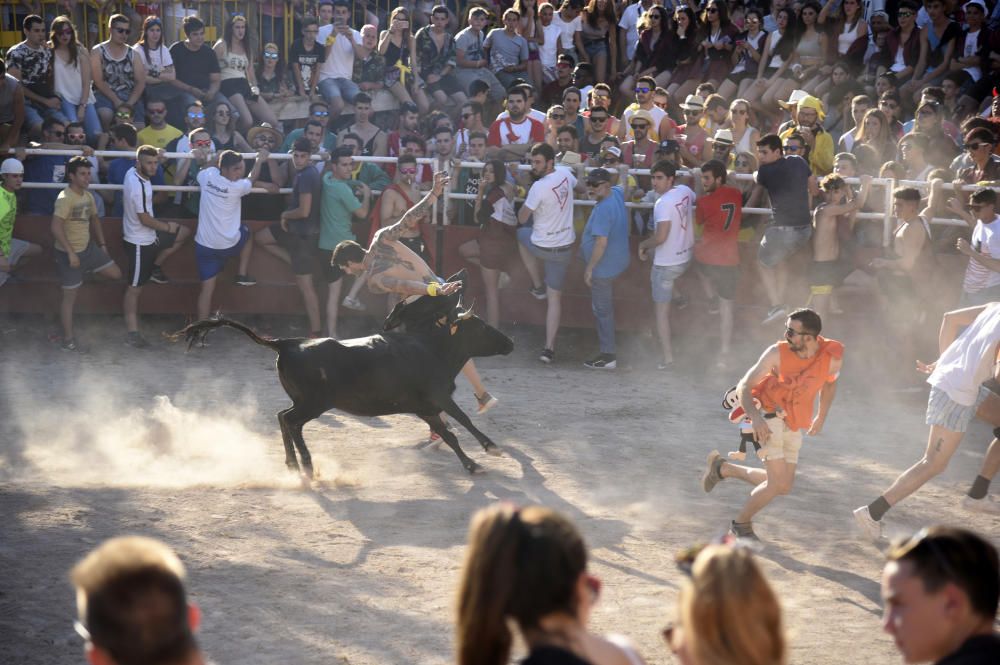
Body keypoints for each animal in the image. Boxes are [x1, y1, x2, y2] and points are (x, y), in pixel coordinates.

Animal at [181, 296, 520, 478]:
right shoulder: (438, 398)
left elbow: (450, 435)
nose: (510, 343)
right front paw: (491, 448)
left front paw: (472, 464)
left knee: (282, 417)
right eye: (481, 326)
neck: (431, 347)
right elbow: (464, 421)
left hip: (304, 401)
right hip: (314, 403)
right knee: (290, 421)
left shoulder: (425, 408)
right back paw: (307, 465)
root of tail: (285, 343)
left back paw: (292, 464)